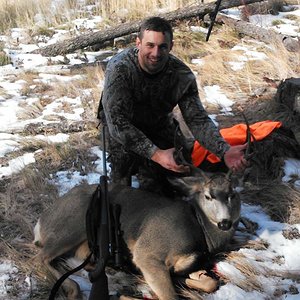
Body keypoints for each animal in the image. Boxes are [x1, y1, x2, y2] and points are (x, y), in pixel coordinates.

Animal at [34, 172, 241, 298]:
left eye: (233, 195)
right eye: (208, 196)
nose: (225, 223)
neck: (199, 228)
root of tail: (41, 221)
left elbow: (210, 283)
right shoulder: (148, 253)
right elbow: (170, 296)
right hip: (73, 225)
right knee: (41, 256)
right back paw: (74, 290)